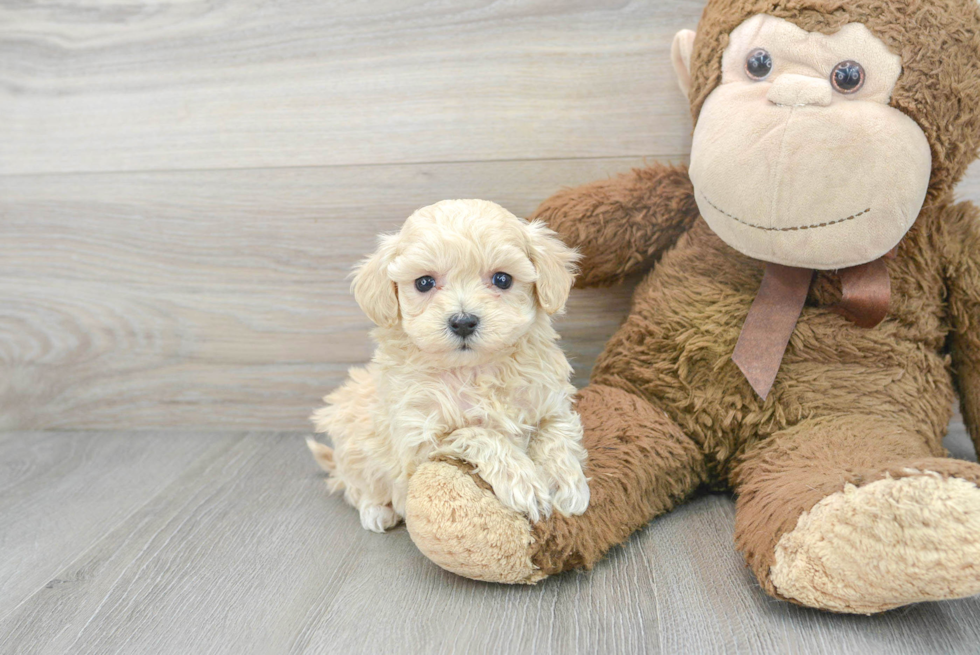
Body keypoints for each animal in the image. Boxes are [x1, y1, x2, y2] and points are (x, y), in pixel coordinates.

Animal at [306, 199, 588, 532]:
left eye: (502, 279)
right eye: (424, 282)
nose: (463, 321)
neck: (475, 369)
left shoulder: (552, 404)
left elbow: (556, 435)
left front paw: (567, 485)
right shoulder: (419, 437)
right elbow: (479, 434)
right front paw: (524, 482)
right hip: (351, 436)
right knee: (355, 484)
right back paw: (376, 510)